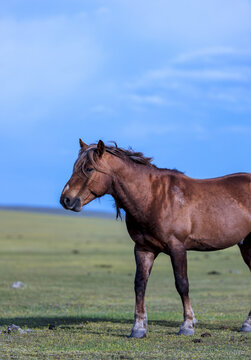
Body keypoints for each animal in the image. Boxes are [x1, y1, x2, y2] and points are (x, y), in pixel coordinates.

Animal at [59, 139, 250, 338]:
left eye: (89, 169)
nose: (66, 200)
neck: (152, 198)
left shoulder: (177, 248)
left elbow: (182, 284)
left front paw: (187, 325)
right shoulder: (144, 249)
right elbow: (140, 284)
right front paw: (138, 327)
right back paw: (247, 324)